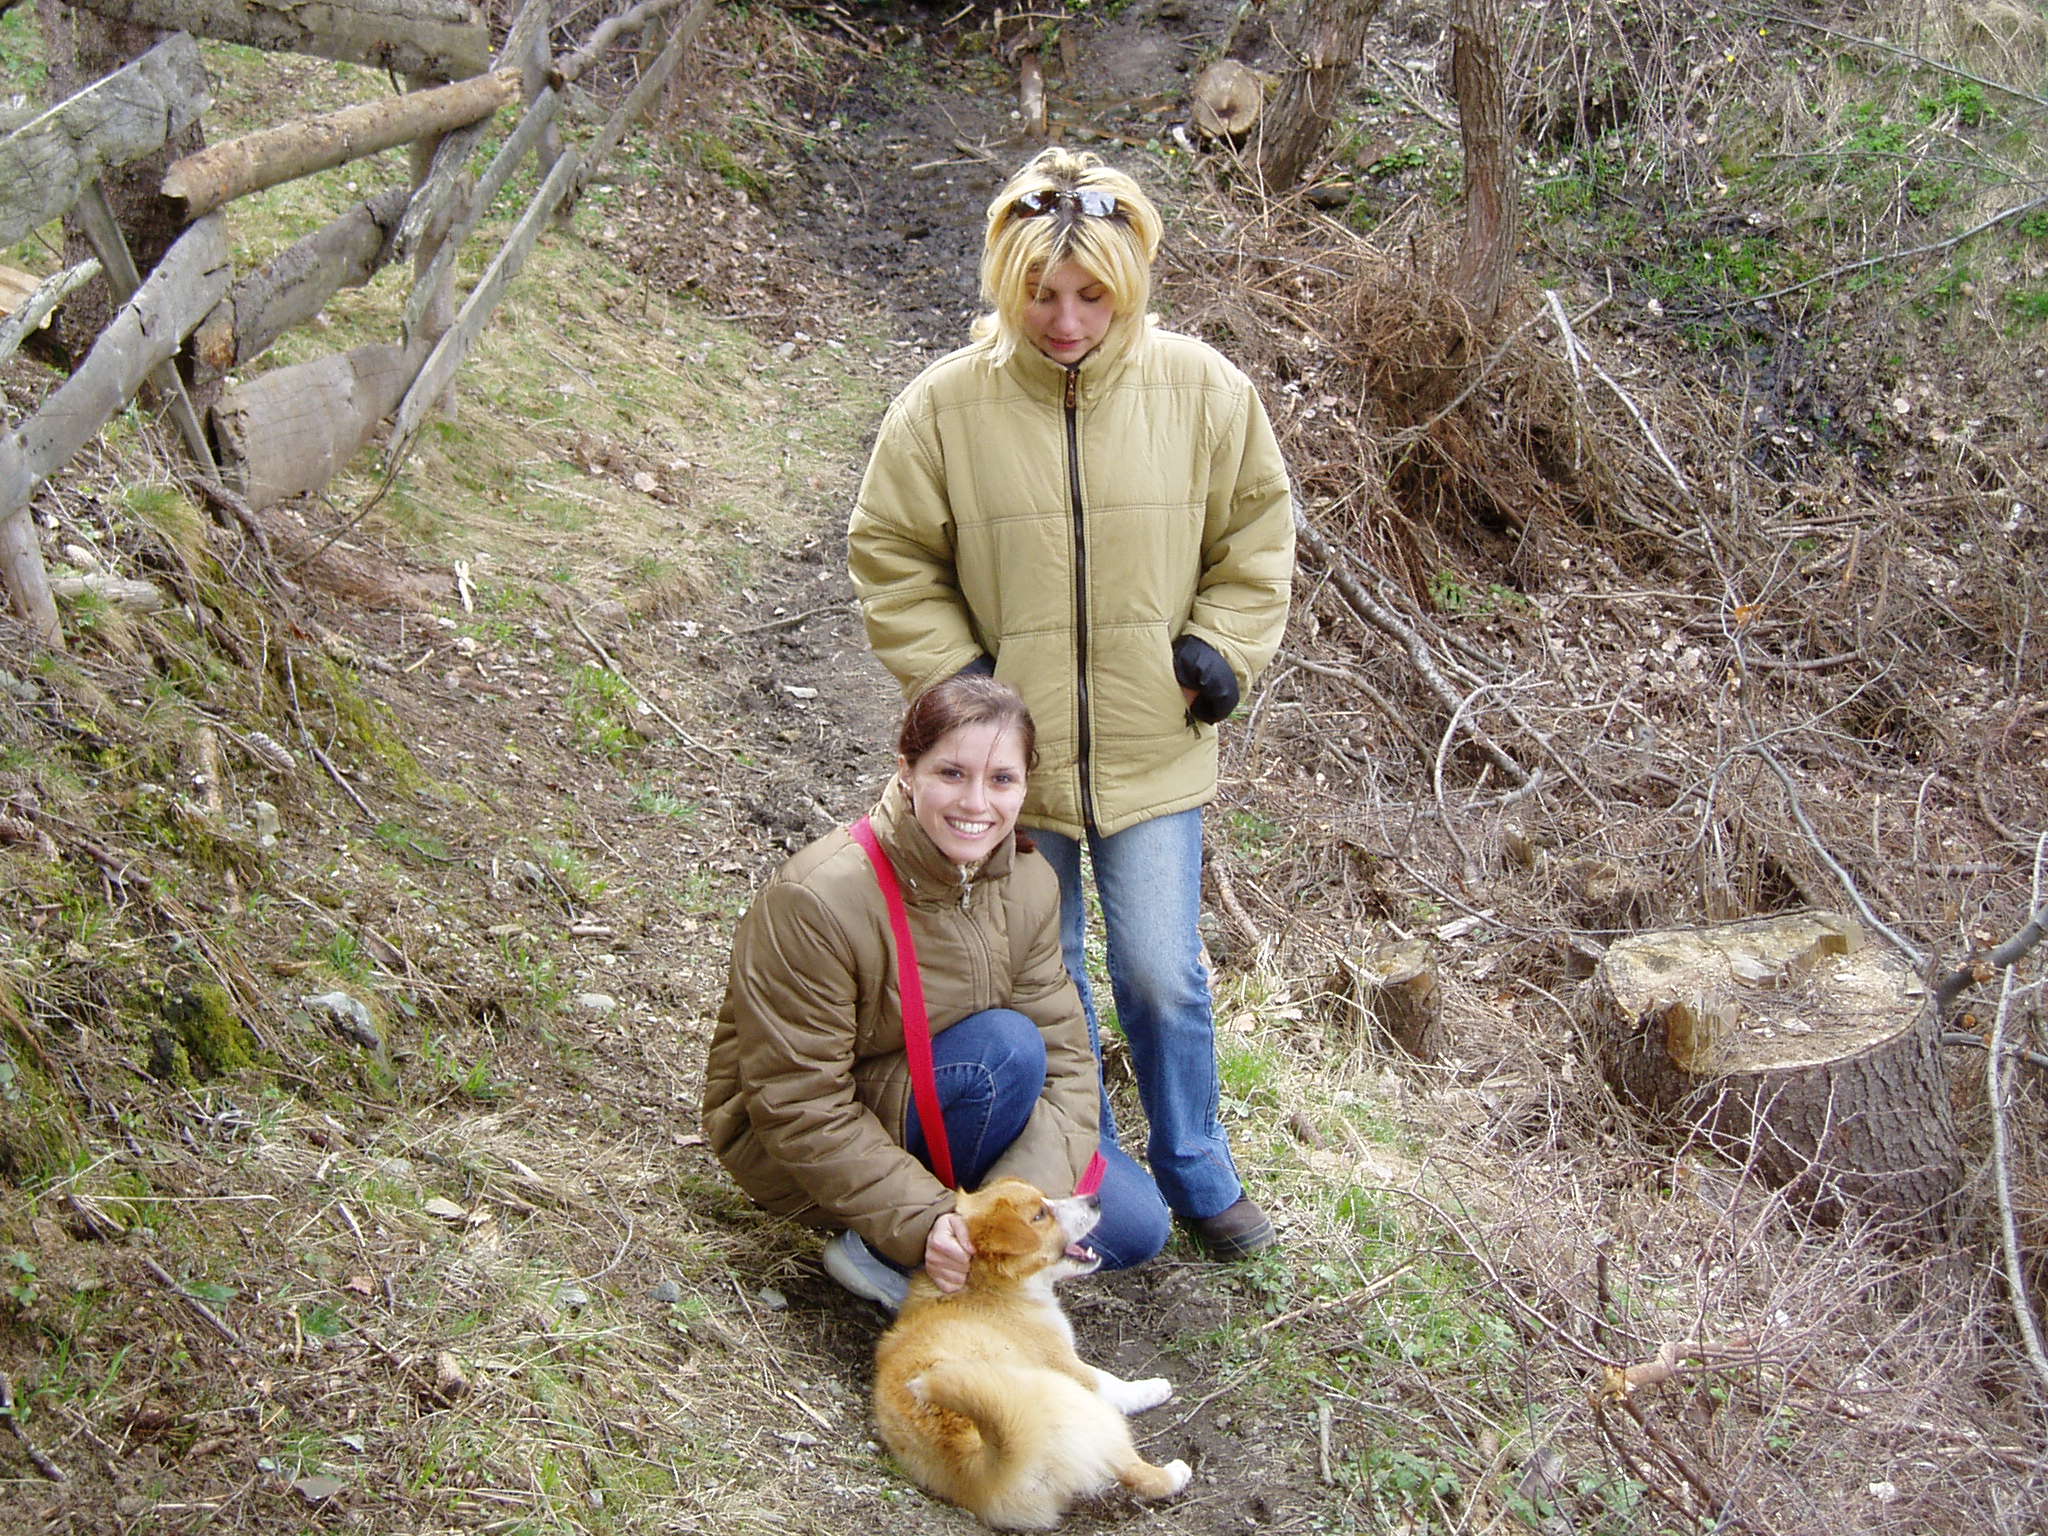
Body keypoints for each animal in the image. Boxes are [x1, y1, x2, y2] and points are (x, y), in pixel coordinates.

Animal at [872, 1178, 1191, 1530]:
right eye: (1039, 1215)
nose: (1095, 1199)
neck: (985, 1284)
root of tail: (975, 1460)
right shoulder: (1069, 1365)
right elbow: (1113, 1383)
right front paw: (1154, 1387)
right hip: (1090, 1411)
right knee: (1137, 1473)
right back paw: (1176, 1472)